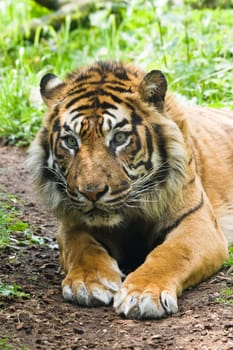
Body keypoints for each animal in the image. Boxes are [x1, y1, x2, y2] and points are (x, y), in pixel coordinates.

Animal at [28, 60, 233, 320]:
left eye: (119, 138)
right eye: (71, 141)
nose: (91, 192)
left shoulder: (198, 222)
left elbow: (171, 253)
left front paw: (143, 293)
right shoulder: (72, 224)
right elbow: (82, 249)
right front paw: (88, 282)